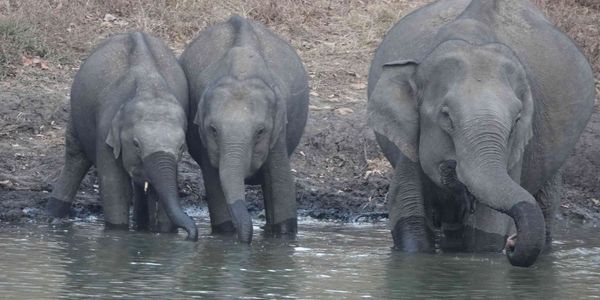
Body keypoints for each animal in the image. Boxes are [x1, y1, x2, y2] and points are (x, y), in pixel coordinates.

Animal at [47, 31, 197, 241]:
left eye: (182, 147)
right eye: (136, 144)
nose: (192, 236)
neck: (149, 89)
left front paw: (165, 234)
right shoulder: (105, 129)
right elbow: (114, 186)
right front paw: (118, 232)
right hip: (76, 113)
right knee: (75, 157)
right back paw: (50, 218)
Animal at [179, 14, 310, 244]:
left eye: (260, 131)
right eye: (213, 129)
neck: (241, 73)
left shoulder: (278, 129)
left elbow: (281, 181)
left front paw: (282, 237)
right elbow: (214, 182)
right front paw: (226, 235)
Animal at [366, 0, 596, 268]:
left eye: (517, 120)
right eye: (446, 116)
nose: (513, 242)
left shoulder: (516, 152)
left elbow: (487, 229)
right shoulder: (410, 139)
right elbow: (407, 215)